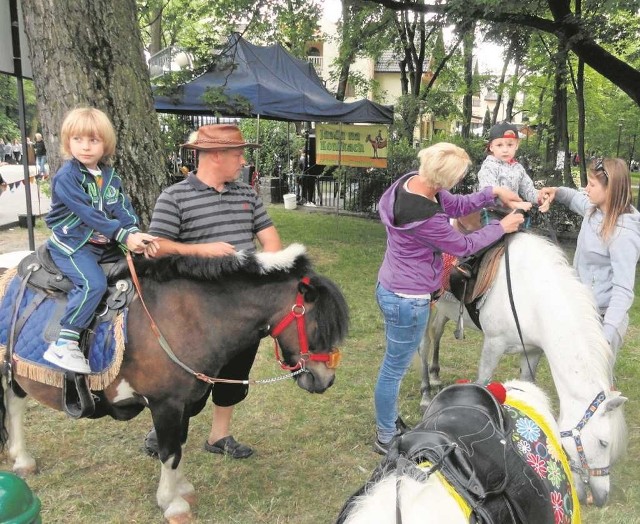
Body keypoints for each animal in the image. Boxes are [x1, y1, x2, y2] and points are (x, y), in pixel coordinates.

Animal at [0, 245, 350, 520]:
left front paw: (181, 488)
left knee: (15, 403)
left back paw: (21, 458)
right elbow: (169, 451)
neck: (187, 316)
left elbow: (179, 444)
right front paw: (172, 503)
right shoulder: (165, 403)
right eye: (318, 325)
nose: (326, 379)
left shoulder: (183, 402)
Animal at [420, 232, 624, 504]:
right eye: (603, 442)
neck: (532, 295)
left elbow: (527, 386)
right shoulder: (493, 344)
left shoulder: (533, 351)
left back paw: (435, 374)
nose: (602, 498)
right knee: (423, 344)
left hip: (444, 309)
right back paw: (425, 391)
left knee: (438, 332)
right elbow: (482, 384)